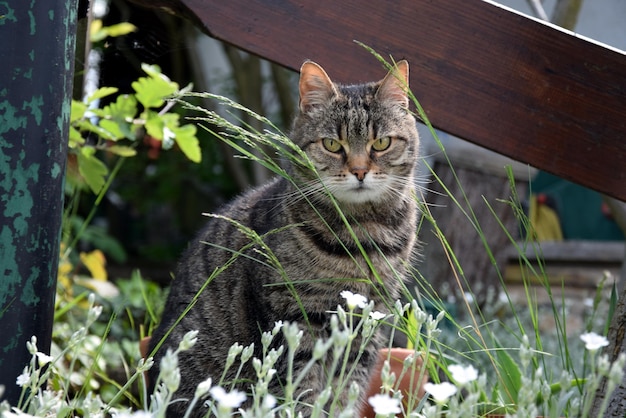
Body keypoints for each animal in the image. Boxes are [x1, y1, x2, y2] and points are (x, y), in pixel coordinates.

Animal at [147, 59, 420, 418]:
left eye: (381, 143)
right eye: (332, 145)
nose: (360, 171)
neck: (361, 232)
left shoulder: (368, 318)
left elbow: (347, 389)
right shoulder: (294, 317)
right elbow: (303, 391)